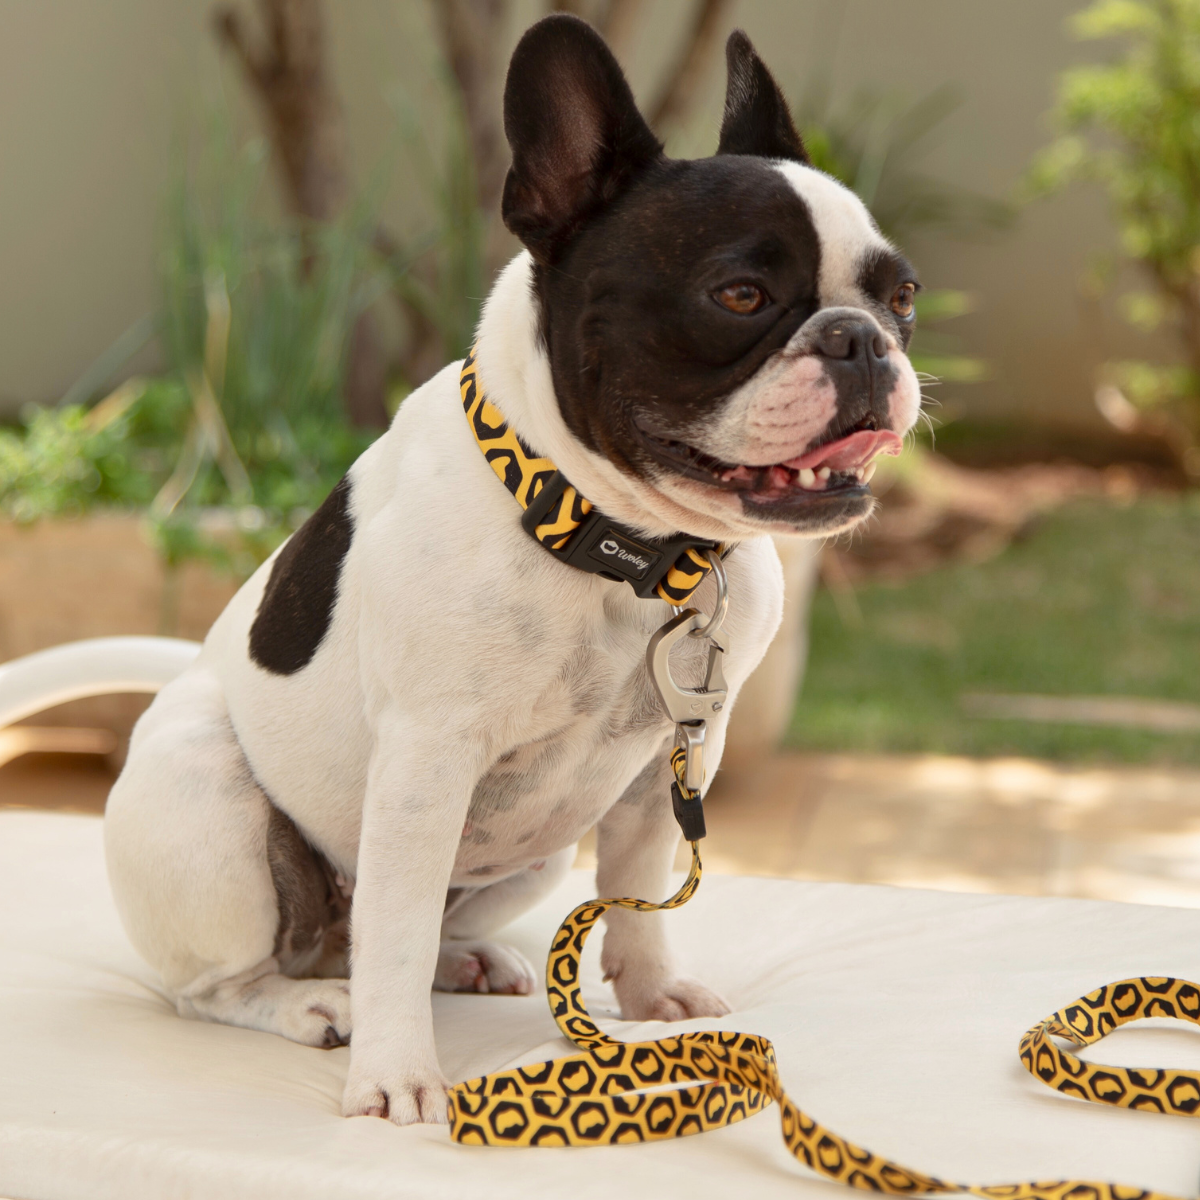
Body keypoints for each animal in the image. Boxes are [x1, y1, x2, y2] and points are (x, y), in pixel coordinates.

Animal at [100, 16, 916, 1123]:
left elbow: (642, 881)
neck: (621, 548)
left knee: (398, 932)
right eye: (739, 295)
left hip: (539, 850)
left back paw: (464, 959)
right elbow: (396, 933)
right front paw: (397, 1077)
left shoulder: (677, 751)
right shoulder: (427, 759)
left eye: (902, 296)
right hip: (206, 799)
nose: (860, 341)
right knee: (236, 979)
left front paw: (652, 994)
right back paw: (309, 1005)